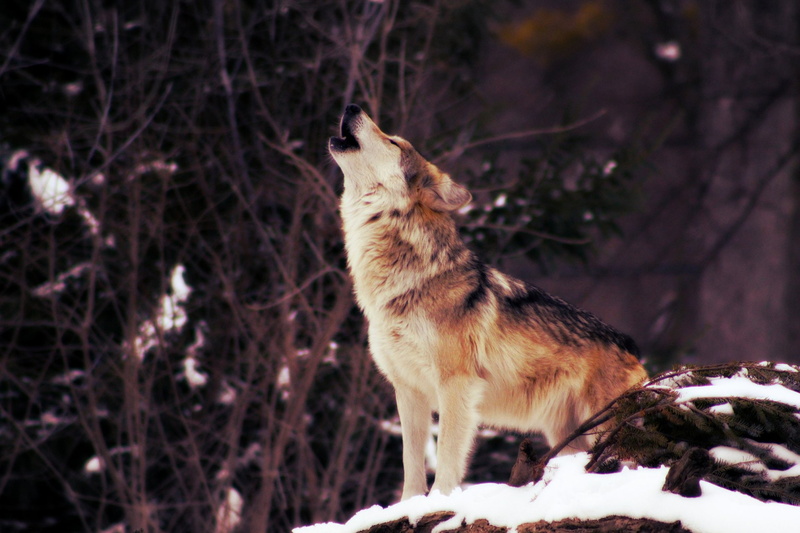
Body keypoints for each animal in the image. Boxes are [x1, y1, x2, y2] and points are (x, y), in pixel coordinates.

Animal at [329, 104, 647, 499]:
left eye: (393, 141)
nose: (351, 106)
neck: (407, 281)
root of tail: (632, 348)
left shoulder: (457, 385)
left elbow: (447, 455)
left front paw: (439, 501)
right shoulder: (409, 390)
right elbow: (411, 461)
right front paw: (409, 504)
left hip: (603, 428)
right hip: (567, 436)